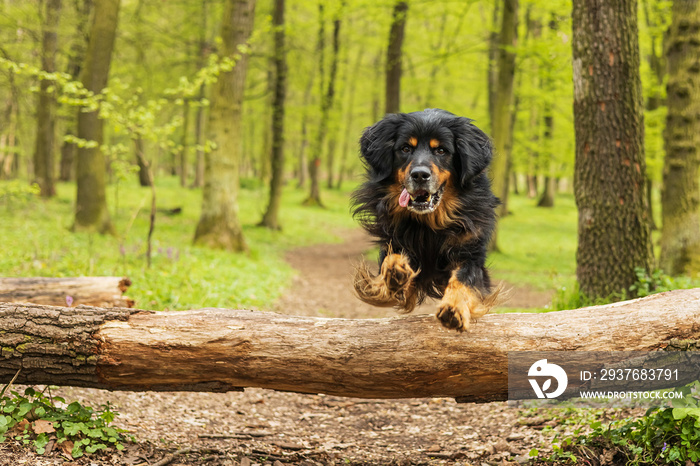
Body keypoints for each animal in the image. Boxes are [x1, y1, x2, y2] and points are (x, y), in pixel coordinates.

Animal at [352, 109, 500, 332]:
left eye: (441, 150)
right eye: (405, 148)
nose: (420, 175)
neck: (428, 225)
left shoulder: (471, 254)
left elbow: (464, 279)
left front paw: (454, 308)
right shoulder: (392, 245)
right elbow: (389, 267)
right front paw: (395, 271)